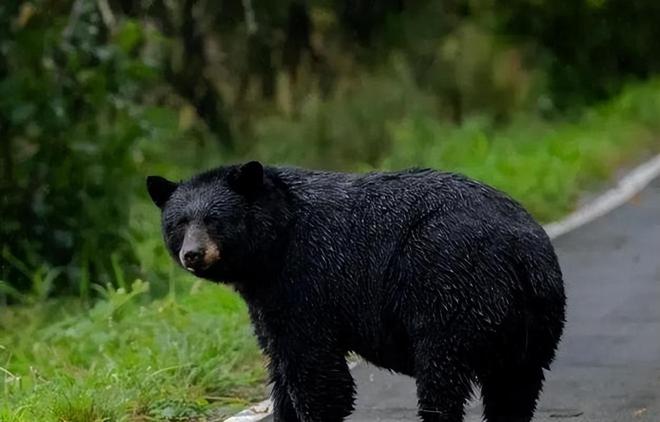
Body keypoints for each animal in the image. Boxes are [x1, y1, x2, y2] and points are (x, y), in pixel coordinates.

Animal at [148, 162, 568, 422]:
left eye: (215, 220)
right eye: (179, 222)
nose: (193, 254)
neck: (274, 245)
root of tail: (518, 251)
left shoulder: (306, 281)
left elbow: (314, 369)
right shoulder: (268, 298)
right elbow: (279, 361)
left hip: (448, 289)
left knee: (442, 374)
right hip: (534, 317)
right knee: (515, 387)